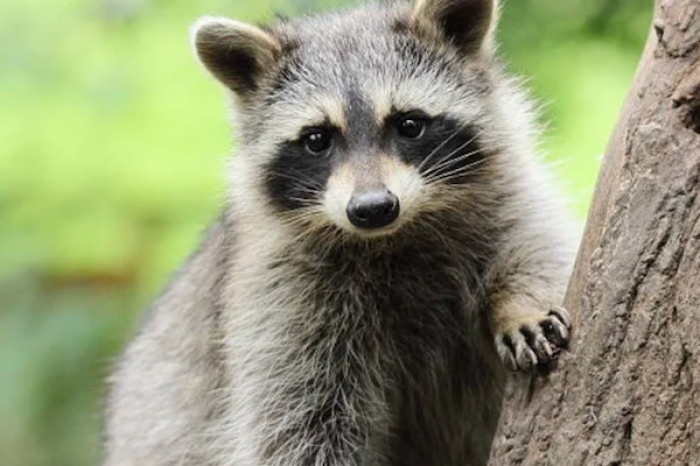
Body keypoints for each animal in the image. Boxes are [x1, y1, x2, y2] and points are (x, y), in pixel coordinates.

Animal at [102, 0, 576, 466]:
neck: (394, 235)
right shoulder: (281, 296)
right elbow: (300, 423)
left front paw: (521, 304)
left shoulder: (507, 195)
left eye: (409, 124)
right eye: (317, 139)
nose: (372, 208)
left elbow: (538, 247)